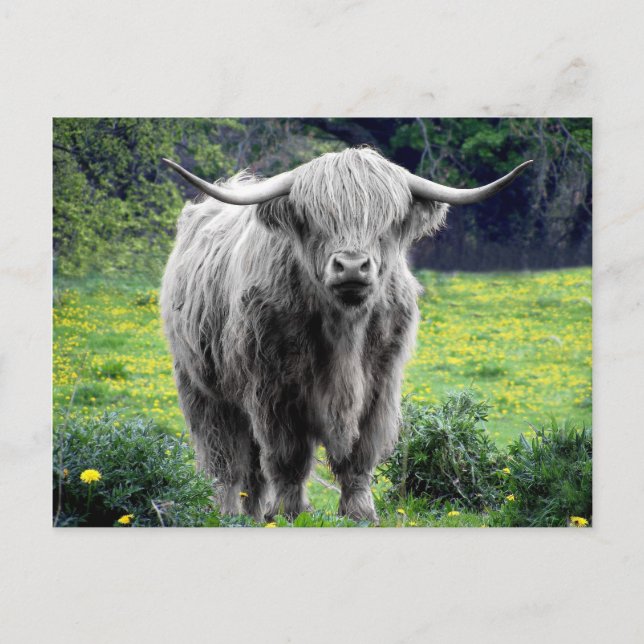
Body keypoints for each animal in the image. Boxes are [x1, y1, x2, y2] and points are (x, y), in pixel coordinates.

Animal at [160, 147, 531, 523]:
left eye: (386, 222)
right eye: (314, 219)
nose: (352, 266)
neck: (344, 332)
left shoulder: (379, 387)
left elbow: (359, 454)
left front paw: (360, 513)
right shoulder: (273, 390)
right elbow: (287, 456)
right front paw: (290, 513)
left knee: (251, 467)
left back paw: (252, 514)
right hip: (202, 388)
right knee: (223, 459)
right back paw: (225, 512)